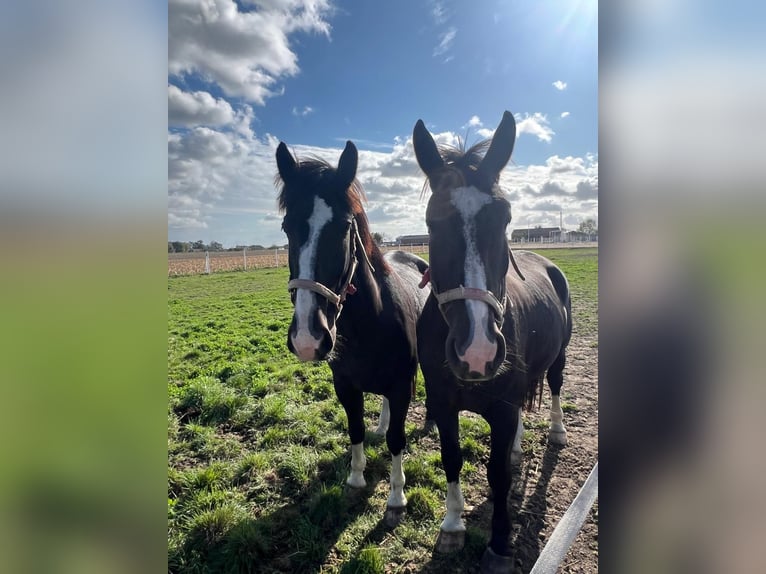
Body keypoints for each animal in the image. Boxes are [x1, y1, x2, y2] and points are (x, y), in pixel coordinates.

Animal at [276, 140, 432, 528]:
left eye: (344, 227)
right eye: (287, 227)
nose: (307, 339)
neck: (369, 323)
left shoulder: (402, 385)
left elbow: (397, 439)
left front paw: (396, 499)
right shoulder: (346, 386)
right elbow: (356, 429)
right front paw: (356, 479)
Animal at [414, 110, 568, 572]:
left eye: (505, 218)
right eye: (432, 222)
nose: (477, 352)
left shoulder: (500, 409)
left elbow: (497, 474)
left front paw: (499, 545)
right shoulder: (442, 403)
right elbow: (451, 458)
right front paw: (451, 527)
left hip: (559, 359)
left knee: (555, 386)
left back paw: (557, 432)